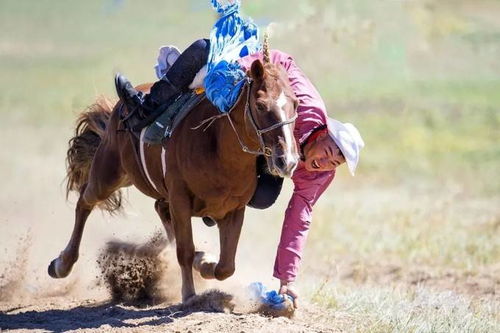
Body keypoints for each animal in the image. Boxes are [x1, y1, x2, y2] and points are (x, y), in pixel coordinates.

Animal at [48, 51, 300, 300]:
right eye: (260, 105)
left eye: (296, 104)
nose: (287, 160)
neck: (218, 145)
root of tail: (117, 110)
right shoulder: (180, 199)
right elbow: (185, 250)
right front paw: (189, 293)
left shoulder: (234, 209)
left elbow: (226, 266)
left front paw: (205, 263)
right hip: (108, 174)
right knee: (85, 202)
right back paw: (62, 264)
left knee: (159, 208)